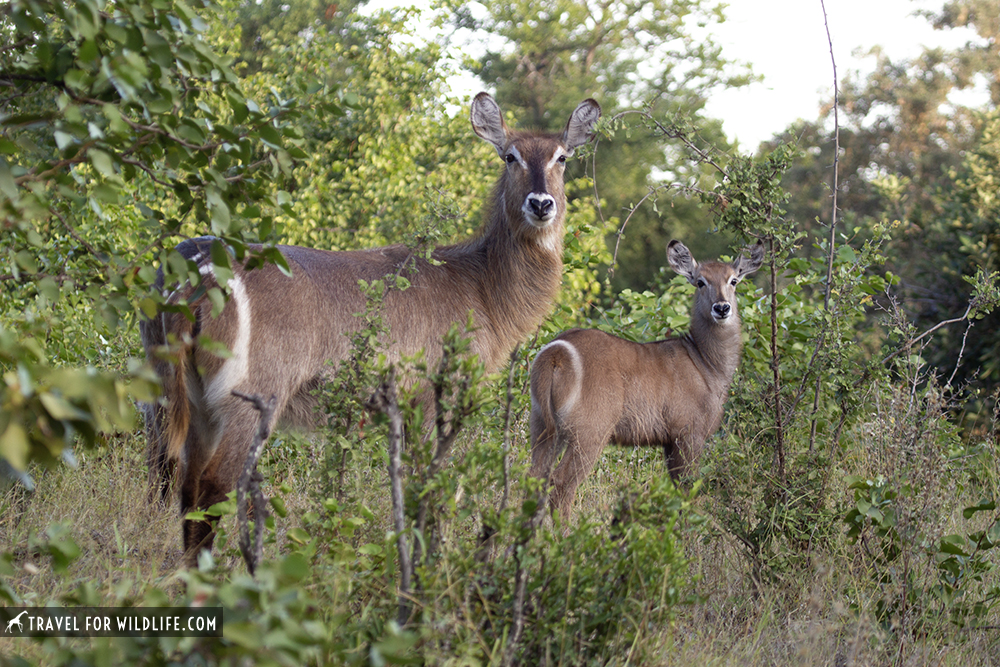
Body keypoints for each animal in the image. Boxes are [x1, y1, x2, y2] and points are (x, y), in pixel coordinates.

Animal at [144, 94, 596, 564]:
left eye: (562, 157)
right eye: (510, 156)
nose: (541, 204)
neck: (482, 287)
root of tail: (189, 273)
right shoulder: (433, 397)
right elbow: (429, 488)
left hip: (182, 399)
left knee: (182, 484)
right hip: (249, 398)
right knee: (213, 485)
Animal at [528, 240, 760, 520]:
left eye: (734, 280)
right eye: (700, 281)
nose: (722, 308)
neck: (706, 363)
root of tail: (556, 352)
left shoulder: (669, 441)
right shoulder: (689, 433)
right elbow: (688, 492)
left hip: (542, 426)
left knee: (533, 478)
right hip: (590, 432)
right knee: (562, 482)